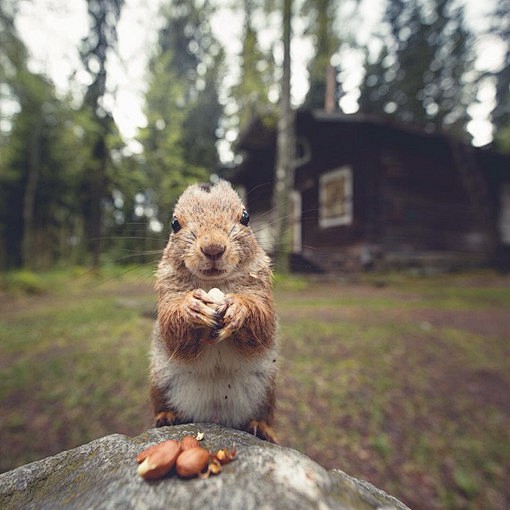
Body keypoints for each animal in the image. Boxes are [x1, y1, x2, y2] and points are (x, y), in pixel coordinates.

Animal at [150, 179, 278, 442]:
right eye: (175, 223)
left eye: (246, 217)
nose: (213, 248)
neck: (212, 284)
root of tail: (214, 416)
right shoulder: (167, 289)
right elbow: (171, 330)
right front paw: (191, 308)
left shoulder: (261, 286)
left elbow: (263, 323)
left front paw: (239, 308)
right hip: (159, 383)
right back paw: (167, 416)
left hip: (266, 391)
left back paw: (261, 427)